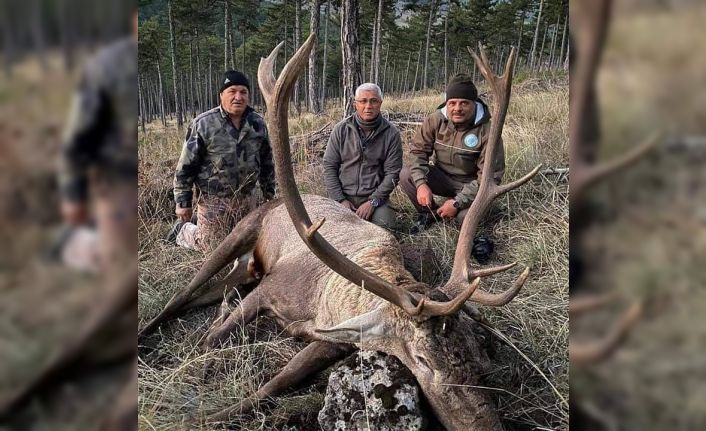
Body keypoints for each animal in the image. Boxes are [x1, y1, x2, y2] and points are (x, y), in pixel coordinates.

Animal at [139, 35, 540, 430]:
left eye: (477, 352)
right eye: (423, 359)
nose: (486, 424)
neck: (329, 305)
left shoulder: (337, 339)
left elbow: (282, 378)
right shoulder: (270, 289)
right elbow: (212, 341)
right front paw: (199, 412)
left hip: (247, 270)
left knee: (211, 292)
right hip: (240, 231)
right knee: (183, 293)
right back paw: (145, 334)